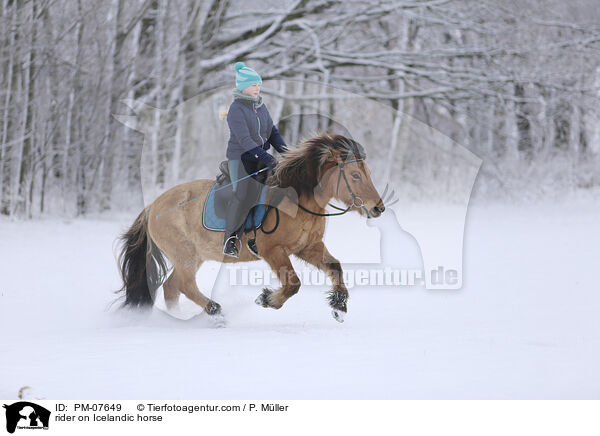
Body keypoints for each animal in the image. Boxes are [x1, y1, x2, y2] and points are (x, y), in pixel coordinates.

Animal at [117, 131, 386, 322]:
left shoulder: (308, 247)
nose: (378, 208)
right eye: (355, 176)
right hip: (185, 255)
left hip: (192, 257)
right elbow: (293, 283)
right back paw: (215, 312)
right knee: (184, 285)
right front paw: (268, 300)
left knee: (172, 287)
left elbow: (335, 267)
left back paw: (180, 317)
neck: (297, 199)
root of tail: (153, 206)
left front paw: (339, 306)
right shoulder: (272, 250)